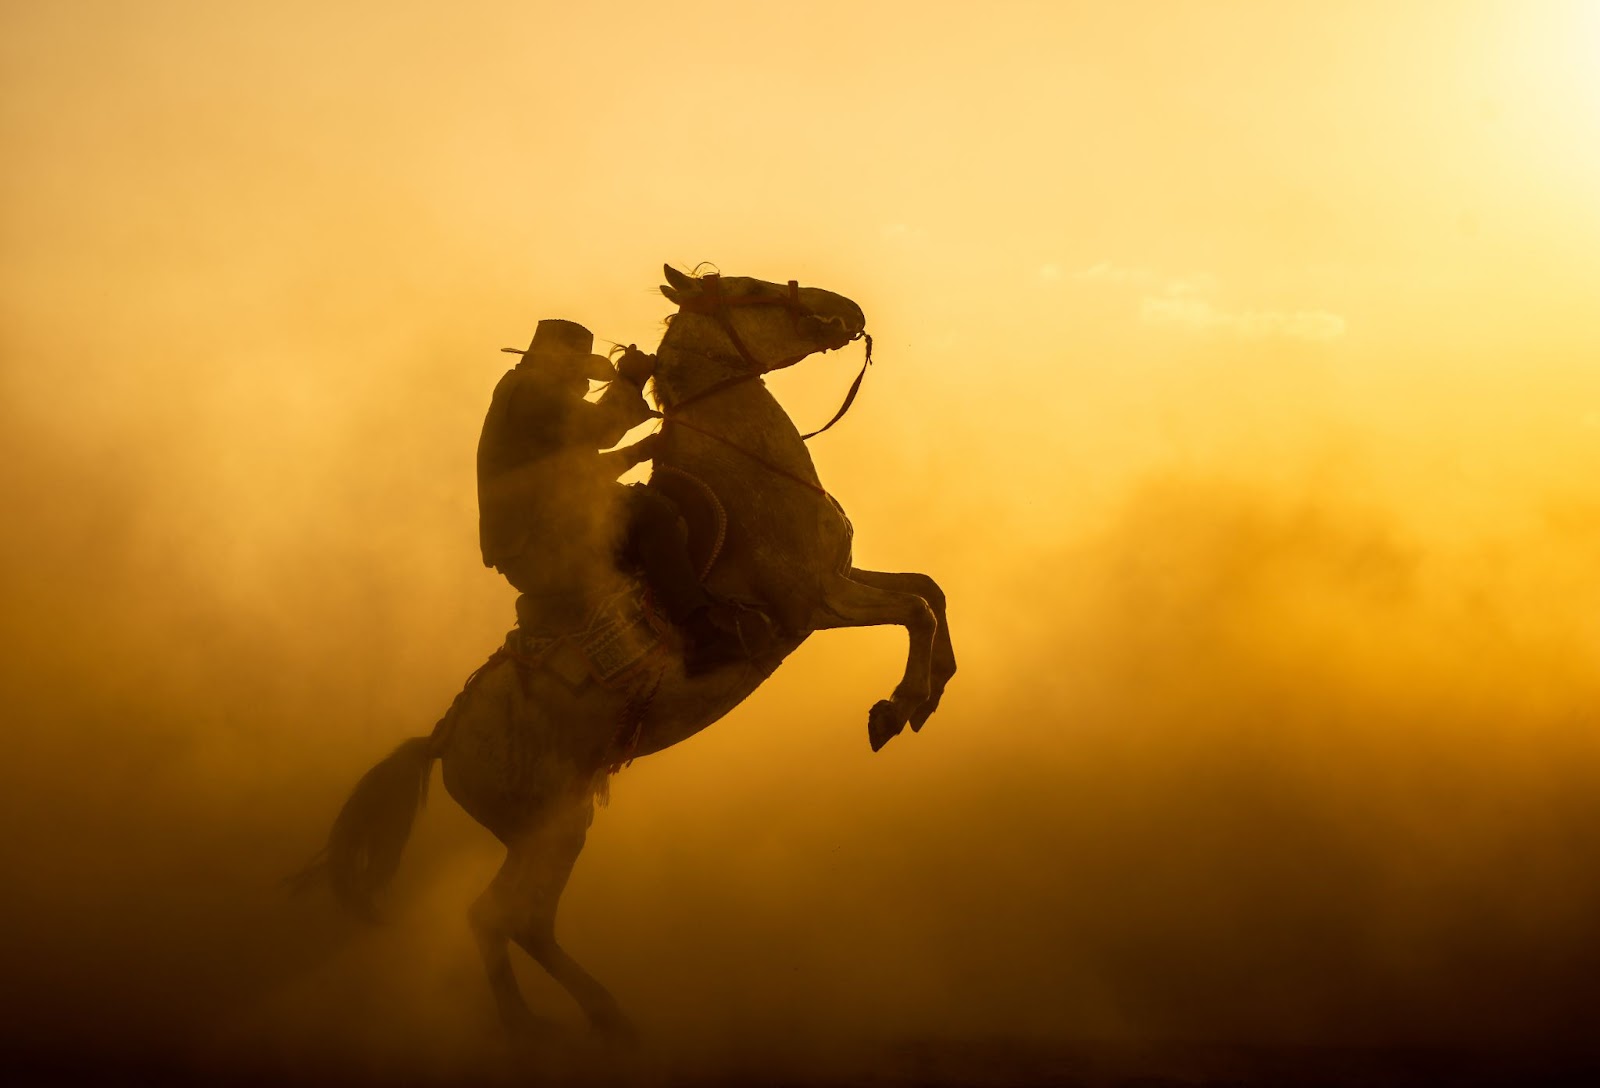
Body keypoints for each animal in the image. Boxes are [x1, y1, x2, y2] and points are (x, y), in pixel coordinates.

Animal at [308, 265, 960, 1043]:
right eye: (749, 285)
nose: (846, 309)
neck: (749, 474)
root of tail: (445, 737)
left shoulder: (843, 576)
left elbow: (929, 590)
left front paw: (930, 694)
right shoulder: (816, 601)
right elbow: (916, 609)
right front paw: (895, 709)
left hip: (557, 826)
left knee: (523, 921)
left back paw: (594, 1017)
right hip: (549, 828)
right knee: (497, 916)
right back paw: (545, 1027)